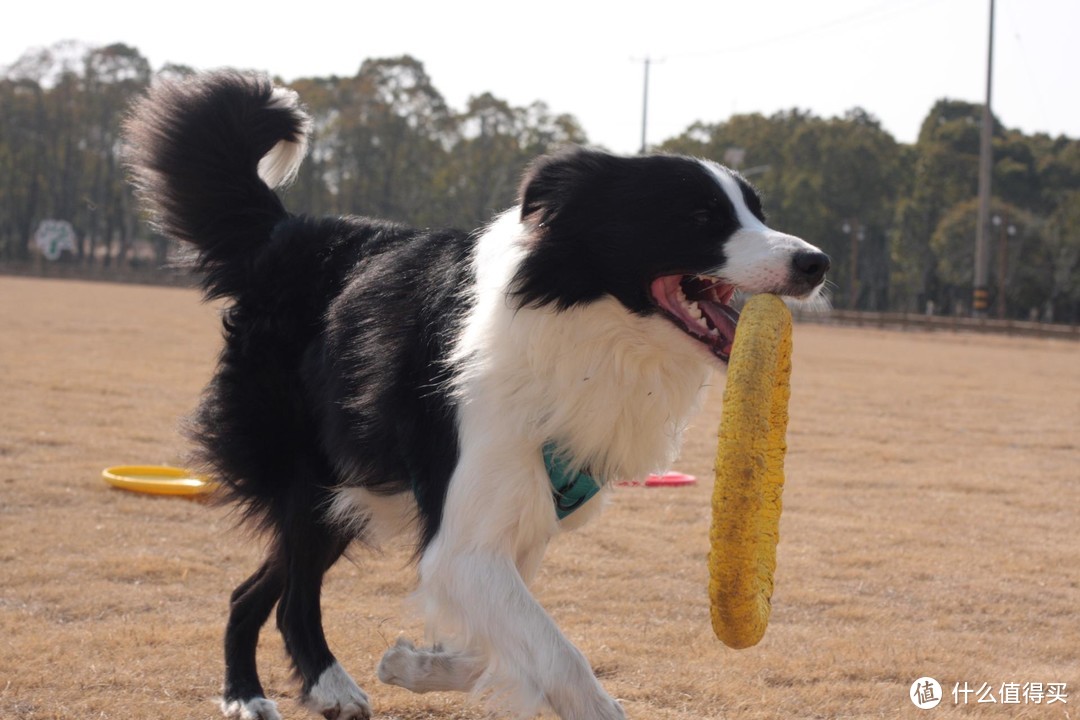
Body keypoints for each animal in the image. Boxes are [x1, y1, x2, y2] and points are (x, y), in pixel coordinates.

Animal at [126, 74, 829, 720]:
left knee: (250, 591)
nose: (816, 262)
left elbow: (499, 644)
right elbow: (559, 657)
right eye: (700, 216)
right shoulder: (466, 531)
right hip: (307, 471)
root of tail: (285, 232)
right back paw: (316, 687)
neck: (585, 327)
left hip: (351, 487)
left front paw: (414, 665)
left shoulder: (512, 528)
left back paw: (250, 690)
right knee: (294, 591)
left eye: (758, 212)